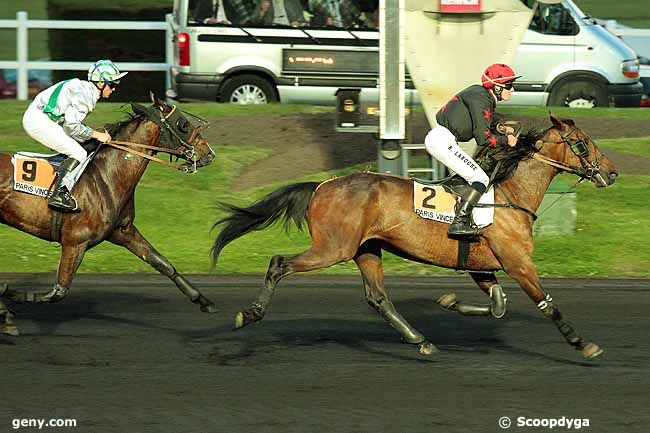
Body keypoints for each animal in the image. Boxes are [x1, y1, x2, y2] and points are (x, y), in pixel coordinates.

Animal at [0, 93, 218, 334]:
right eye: (184, 125)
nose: (208, 153)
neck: (106, 177)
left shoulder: (123, 231)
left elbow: (163, 263)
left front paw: (203, 301)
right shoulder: (75, 242)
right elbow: (58, 291)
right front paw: (9, 296)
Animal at [211, 113, 616, 360]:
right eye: (582, 143)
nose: (611, 173)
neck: (508, 195)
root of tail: (322, 185)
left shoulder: (483, 267)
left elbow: (498, 305)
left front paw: (450, 302)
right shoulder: (517, 262)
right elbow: (547, 304)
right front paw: (583, 344)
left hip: (367, 250)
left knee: (378, 298)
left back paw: (420, 340)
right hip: (332, 248)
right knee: (279, 263)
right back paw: (249, 313)